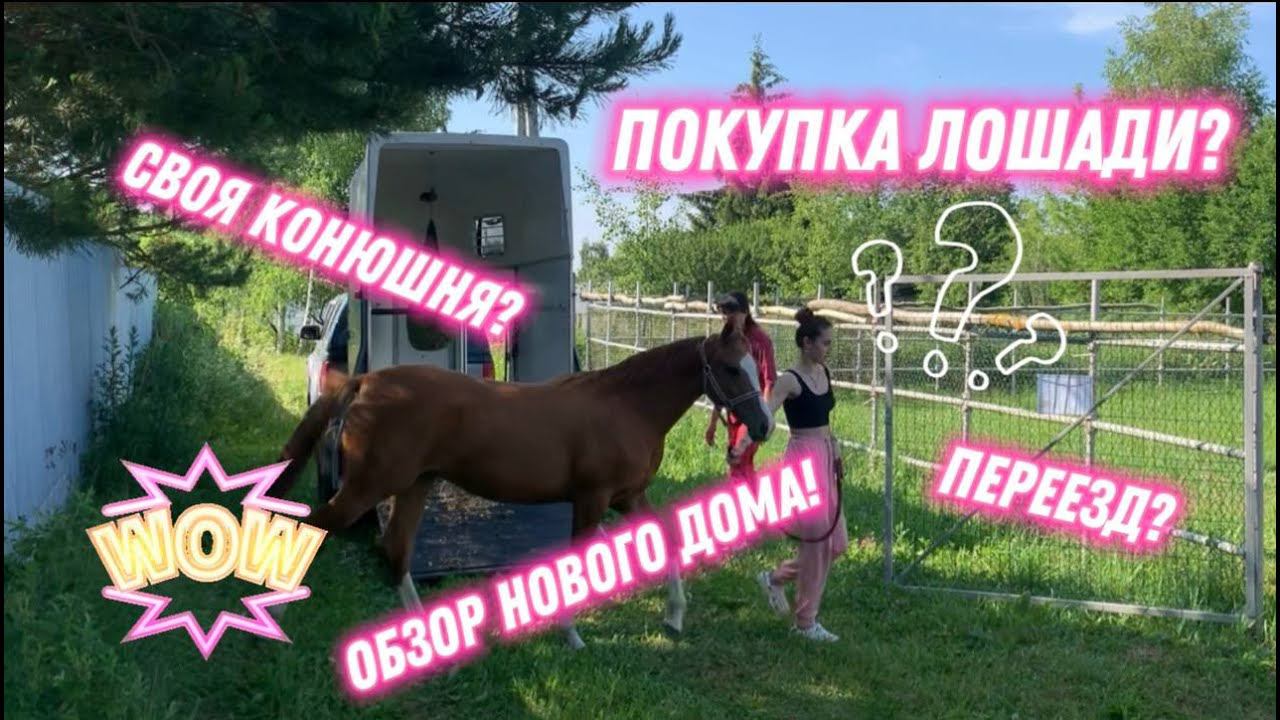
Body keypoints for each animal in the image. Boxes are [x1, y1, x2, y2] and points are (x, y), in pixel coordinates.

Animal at [269, 318, 775, 647]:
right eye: (732, 369)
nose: (765, 427)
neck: (625, 406)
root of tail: (367, 382)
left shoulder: (628, 497)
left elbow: (667, 539)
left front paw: (673, 617)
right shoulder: (591, 500)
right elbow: (576, 560)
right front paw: (571, 634)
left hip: (415, 484)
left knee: (395, 550)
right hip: (367, 488)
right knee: (317, 526)